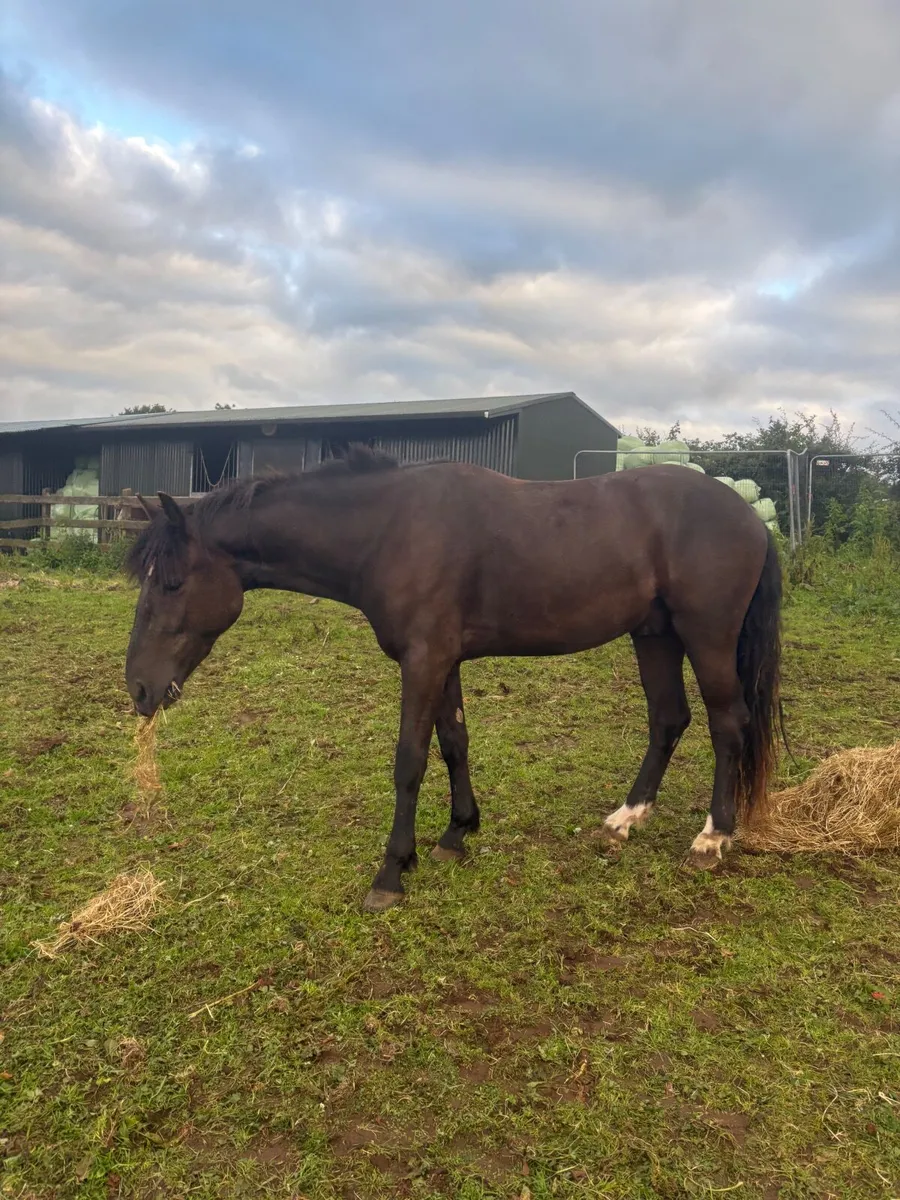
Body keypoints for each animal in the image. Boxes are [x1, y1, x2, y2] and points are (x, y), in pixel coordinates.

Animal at [124, 446, 784, 912]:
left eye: (172, 583)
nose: (139, 689)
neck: (389, 528)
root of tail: (751, 518)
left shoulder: (423, 661)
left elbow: (410, 760)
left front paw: (392, 871)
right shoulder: (442, 662)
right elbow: (454, 743)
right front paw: (456, 833)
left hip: (706, 637)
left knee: (728, 725)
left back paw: (712, 838)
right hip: (654, 636)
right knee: (669, 719)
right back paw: (627, 818)